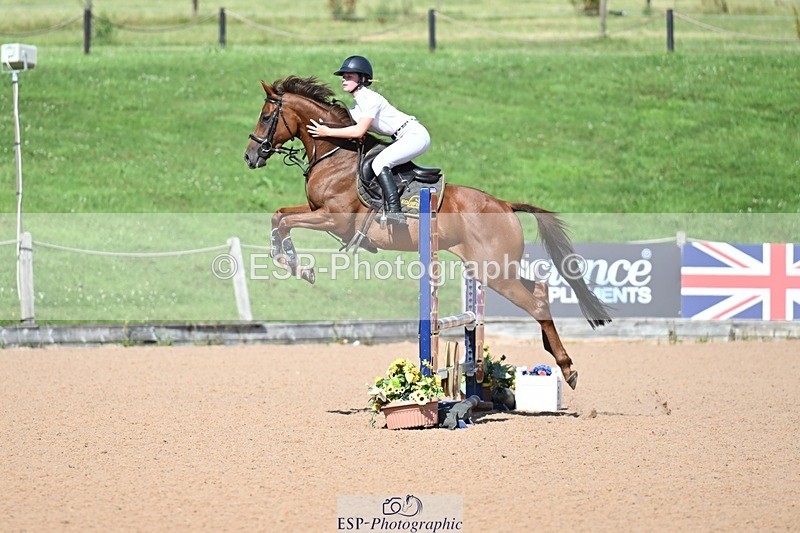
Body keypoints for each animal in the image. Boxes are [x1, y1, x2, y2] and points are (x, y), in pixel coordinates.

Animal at [243, 75, 612, 389]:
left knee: (535, 304)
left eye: (265, 116)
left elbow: (285, 222)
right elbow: (279, 217)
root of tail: (506, 205)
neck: (335, 156)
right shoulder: (317, 212)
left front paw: (295, 264)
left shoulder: (334, 220)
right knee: (540, 290)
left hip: (494, 271)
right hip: (491, 268)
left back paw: (567, 368)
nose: (250, 157)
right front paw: (292, 261)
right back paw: (555, 357)